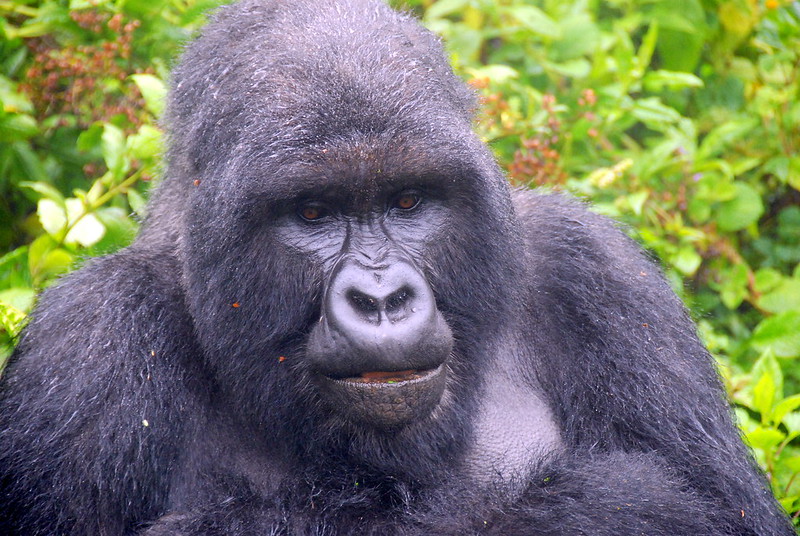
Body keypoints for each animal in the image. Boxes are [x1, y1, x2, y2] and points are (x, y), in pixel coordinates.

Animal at [0, 1, 792, 536]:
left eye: (408, 201)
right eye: (313, 213)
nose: (381, 299)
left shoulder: (599, 273)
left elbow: (713, 509)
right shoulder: (90, 345)